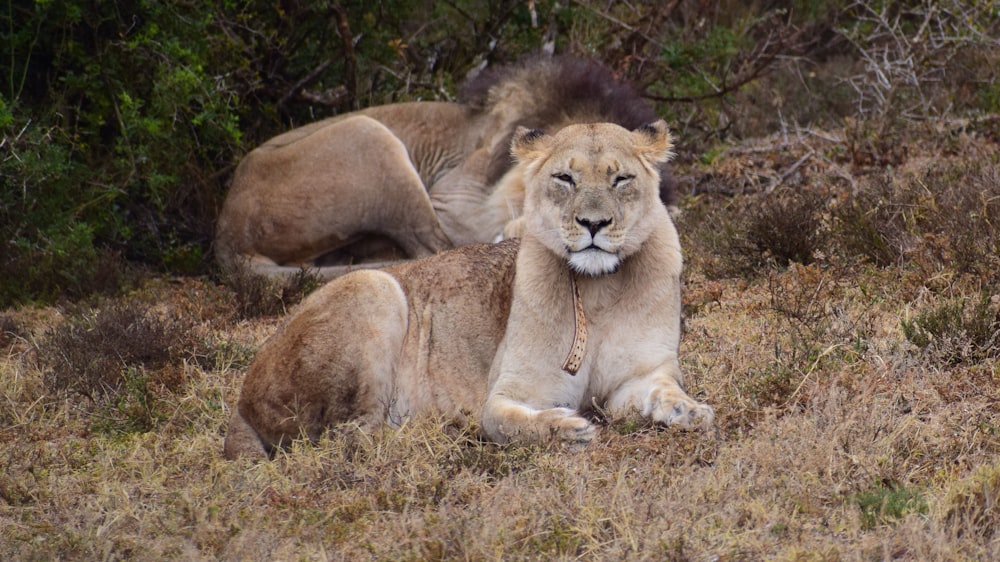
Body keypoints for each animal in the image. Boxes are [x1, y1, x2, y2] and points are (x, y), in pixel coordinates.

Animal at [215, 54, 676, 278]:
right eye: (565, 179)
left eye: (624, 187)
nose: (593, 228)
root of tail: (227, 234)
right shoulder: (452, 199)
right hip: (370, 134)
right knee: (431, 249)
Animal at [224, 120, 716, 458]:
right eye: (565, 178)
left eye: (620, 179)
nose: (593, 223)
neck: (599, 291)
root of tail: (241, 402)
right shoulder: (504, 395)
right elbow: (512, 424)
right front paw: (566, 429)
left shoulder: (640, 376)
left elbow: (663, 390)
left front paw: (691, 412)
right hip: (374, 285)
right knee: (352, 436)